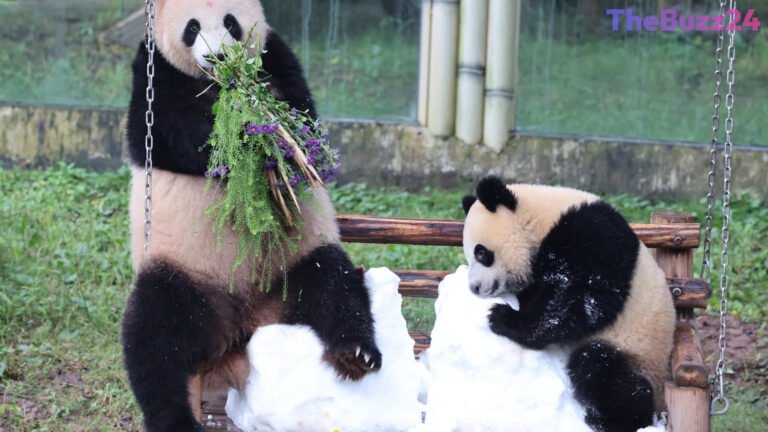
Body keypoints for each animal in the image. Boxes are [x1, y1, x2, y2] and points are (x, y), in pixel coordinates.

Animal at [122, 1, 381, 431]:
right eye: (192, 28)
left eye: (230, 22)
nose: (218, 57)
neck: (217, 83)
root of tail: (241, 330)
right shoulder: (154, 70)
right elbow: (170, 135)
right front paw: (248, 135)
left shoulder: (276, 54)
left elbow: (304, 112)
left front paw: (274, 130)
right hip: (184, 269)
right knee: (156, 338)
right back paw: (175, 418)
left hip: (295, 261)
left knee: (334, 287)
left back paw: (356, 353)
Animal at [461, 176, 675, 432]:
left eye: (481, 253)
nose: (475, 288)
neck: (540, 218)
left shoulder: (591, 235)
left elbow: (579, 300)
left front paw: (505, 318)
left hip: (638, 349)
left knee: (601, 368)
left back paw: (610, 420)